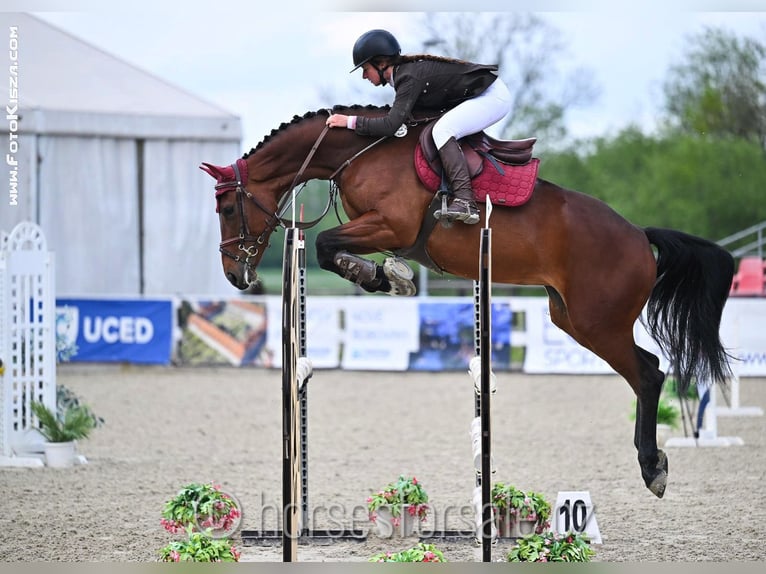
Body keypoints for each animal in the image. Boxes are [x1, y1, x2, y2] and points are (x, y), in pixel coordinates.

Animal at [201, 106, 736, 502]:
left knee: (648, 374)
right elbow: (328, 248)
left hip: (597, 322)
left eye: (226, 208)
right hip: (571, 318)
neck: (356, 154)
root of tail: (638, 235)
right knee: (646, 369)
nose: (234, 275)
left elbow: (325, 246)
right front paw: (389, 275)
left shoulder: (389, 225)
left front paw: (383, 276)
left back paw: (653, 467)